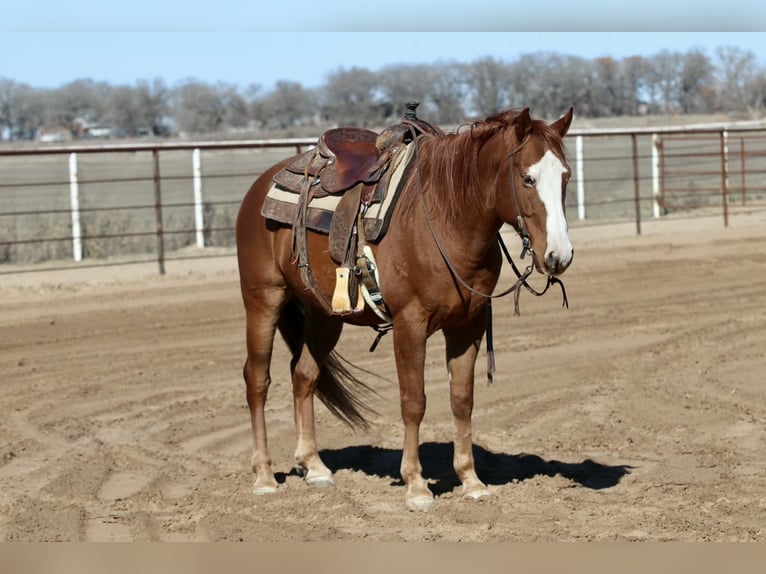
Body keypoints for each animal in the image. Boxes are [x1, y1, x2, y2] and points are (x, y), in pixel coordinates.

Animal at [235, 106, 574, 510]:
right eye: (527, 177)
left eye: (566, 176)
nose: (559, 255)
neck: (449, 219)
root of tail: (261, 184)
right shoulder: (410, 323)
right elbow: (414, 401)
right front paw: (416, 485)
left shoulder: (468, 325)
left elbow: (462, 399)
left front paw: (471, 480)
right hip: (263, 298)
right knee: (257, 379)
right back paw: (264, 475)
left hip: (325, 315)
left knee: (303, 375)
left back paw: (314, 466)